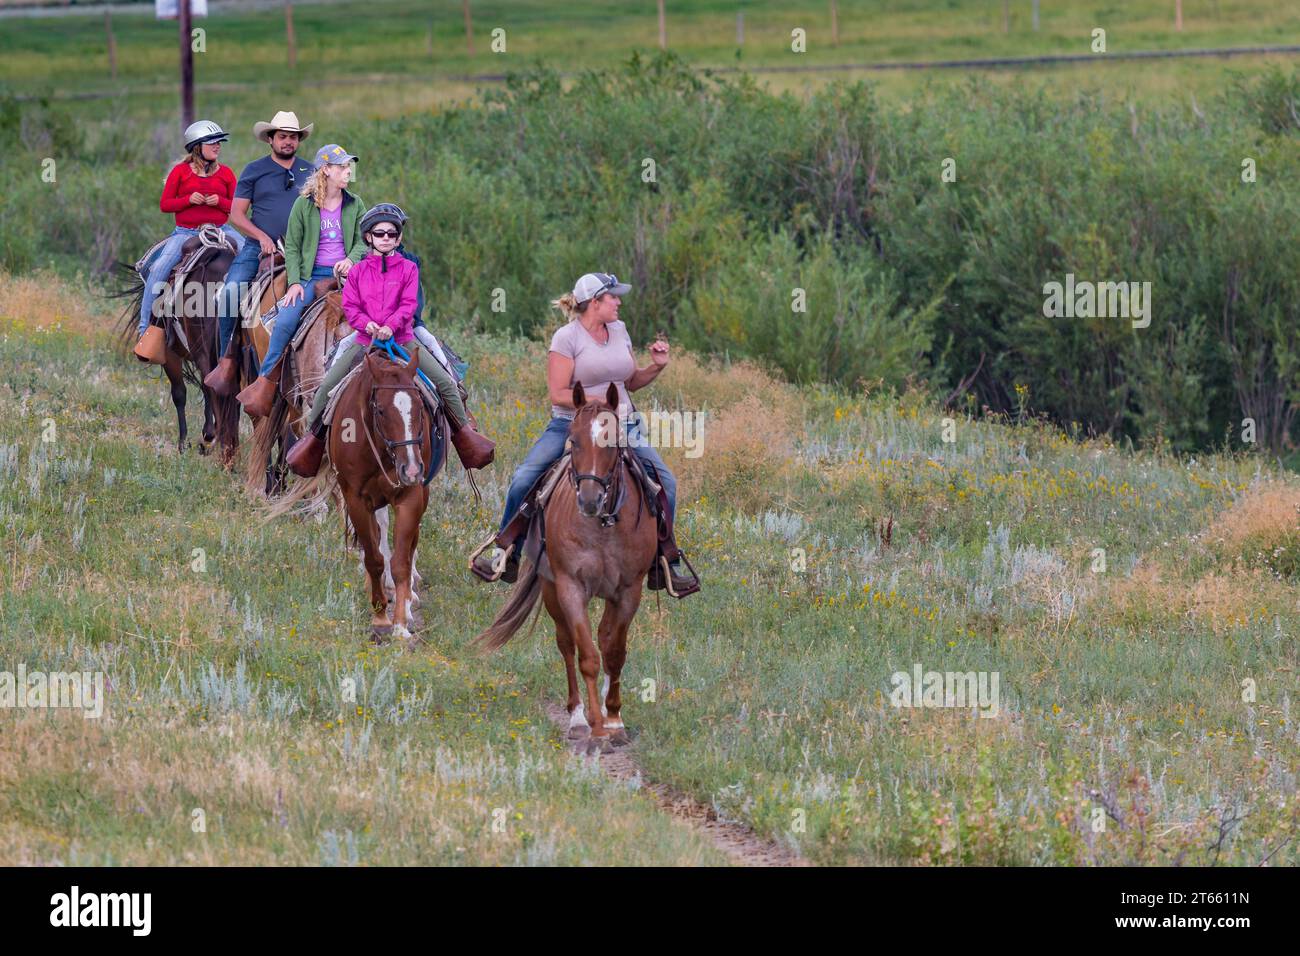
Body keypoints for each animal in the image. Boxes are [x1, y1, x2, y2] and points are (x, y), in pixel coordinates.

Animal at [475, 379, 660, 749]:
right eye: (573, 440)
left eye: (613, 442)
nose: (589, 500)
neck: (603, 525)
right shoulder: (571, 587)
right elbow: (586, 655)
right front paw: (596, 729)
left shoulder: (628, 591)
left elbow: (614, 652)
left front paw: (614, 720)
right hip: (551, 590)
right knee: (566, 644)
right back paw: (578, 717)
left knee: (604, 638)